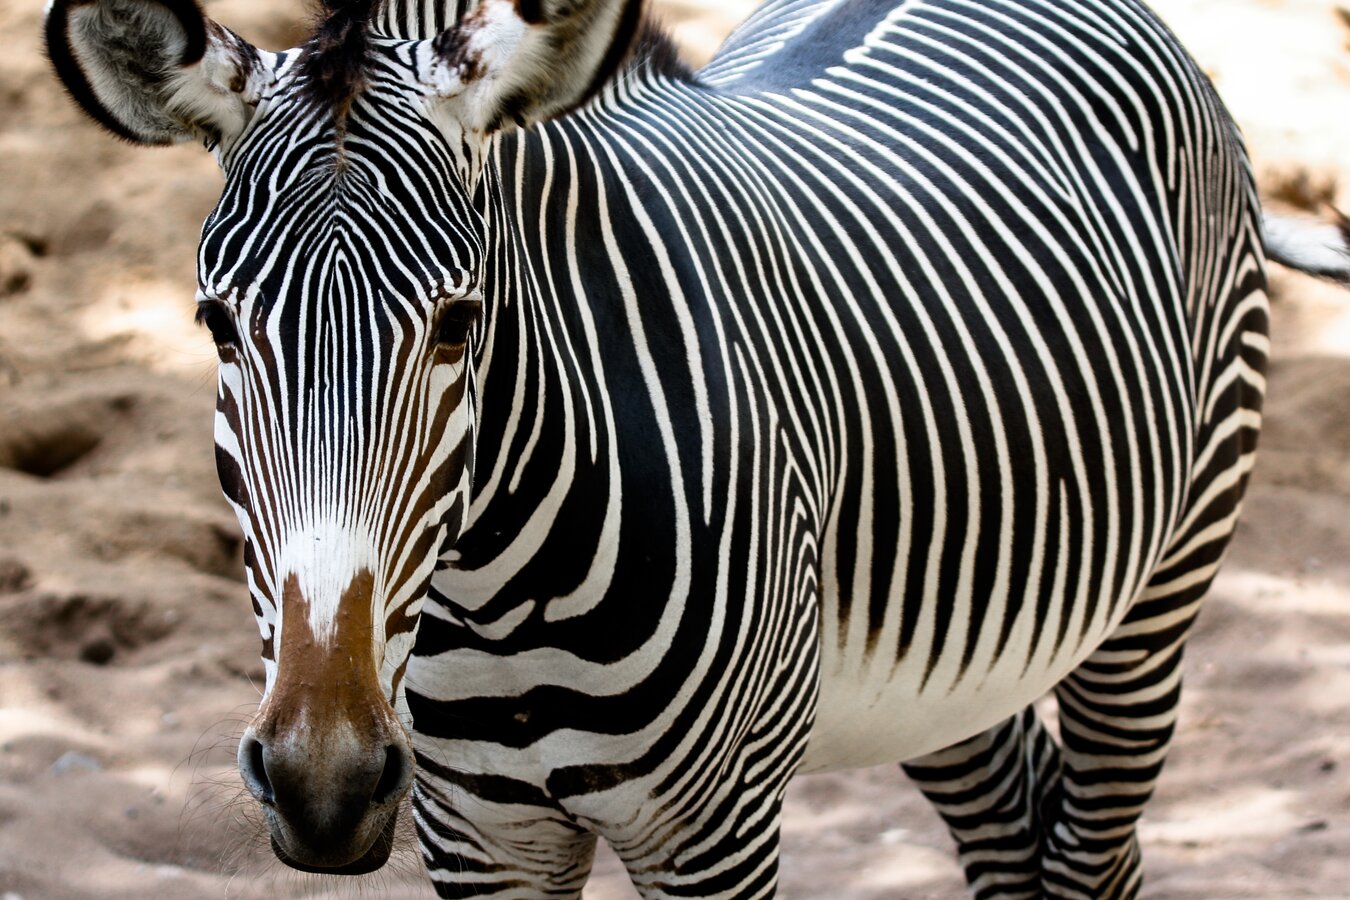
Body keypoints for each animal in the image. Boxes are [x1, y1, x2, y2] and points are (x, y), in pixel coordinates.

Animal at [45, 0, 1350, 894]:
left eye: (461, 321)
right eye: (216, 325)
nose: (324, 784)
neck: (491, 595)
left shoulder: (710, 830)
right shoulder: (482, 834)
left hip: (1158, 590)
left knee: (1094, 845)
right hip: (947, 652)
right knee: (1009, 821)